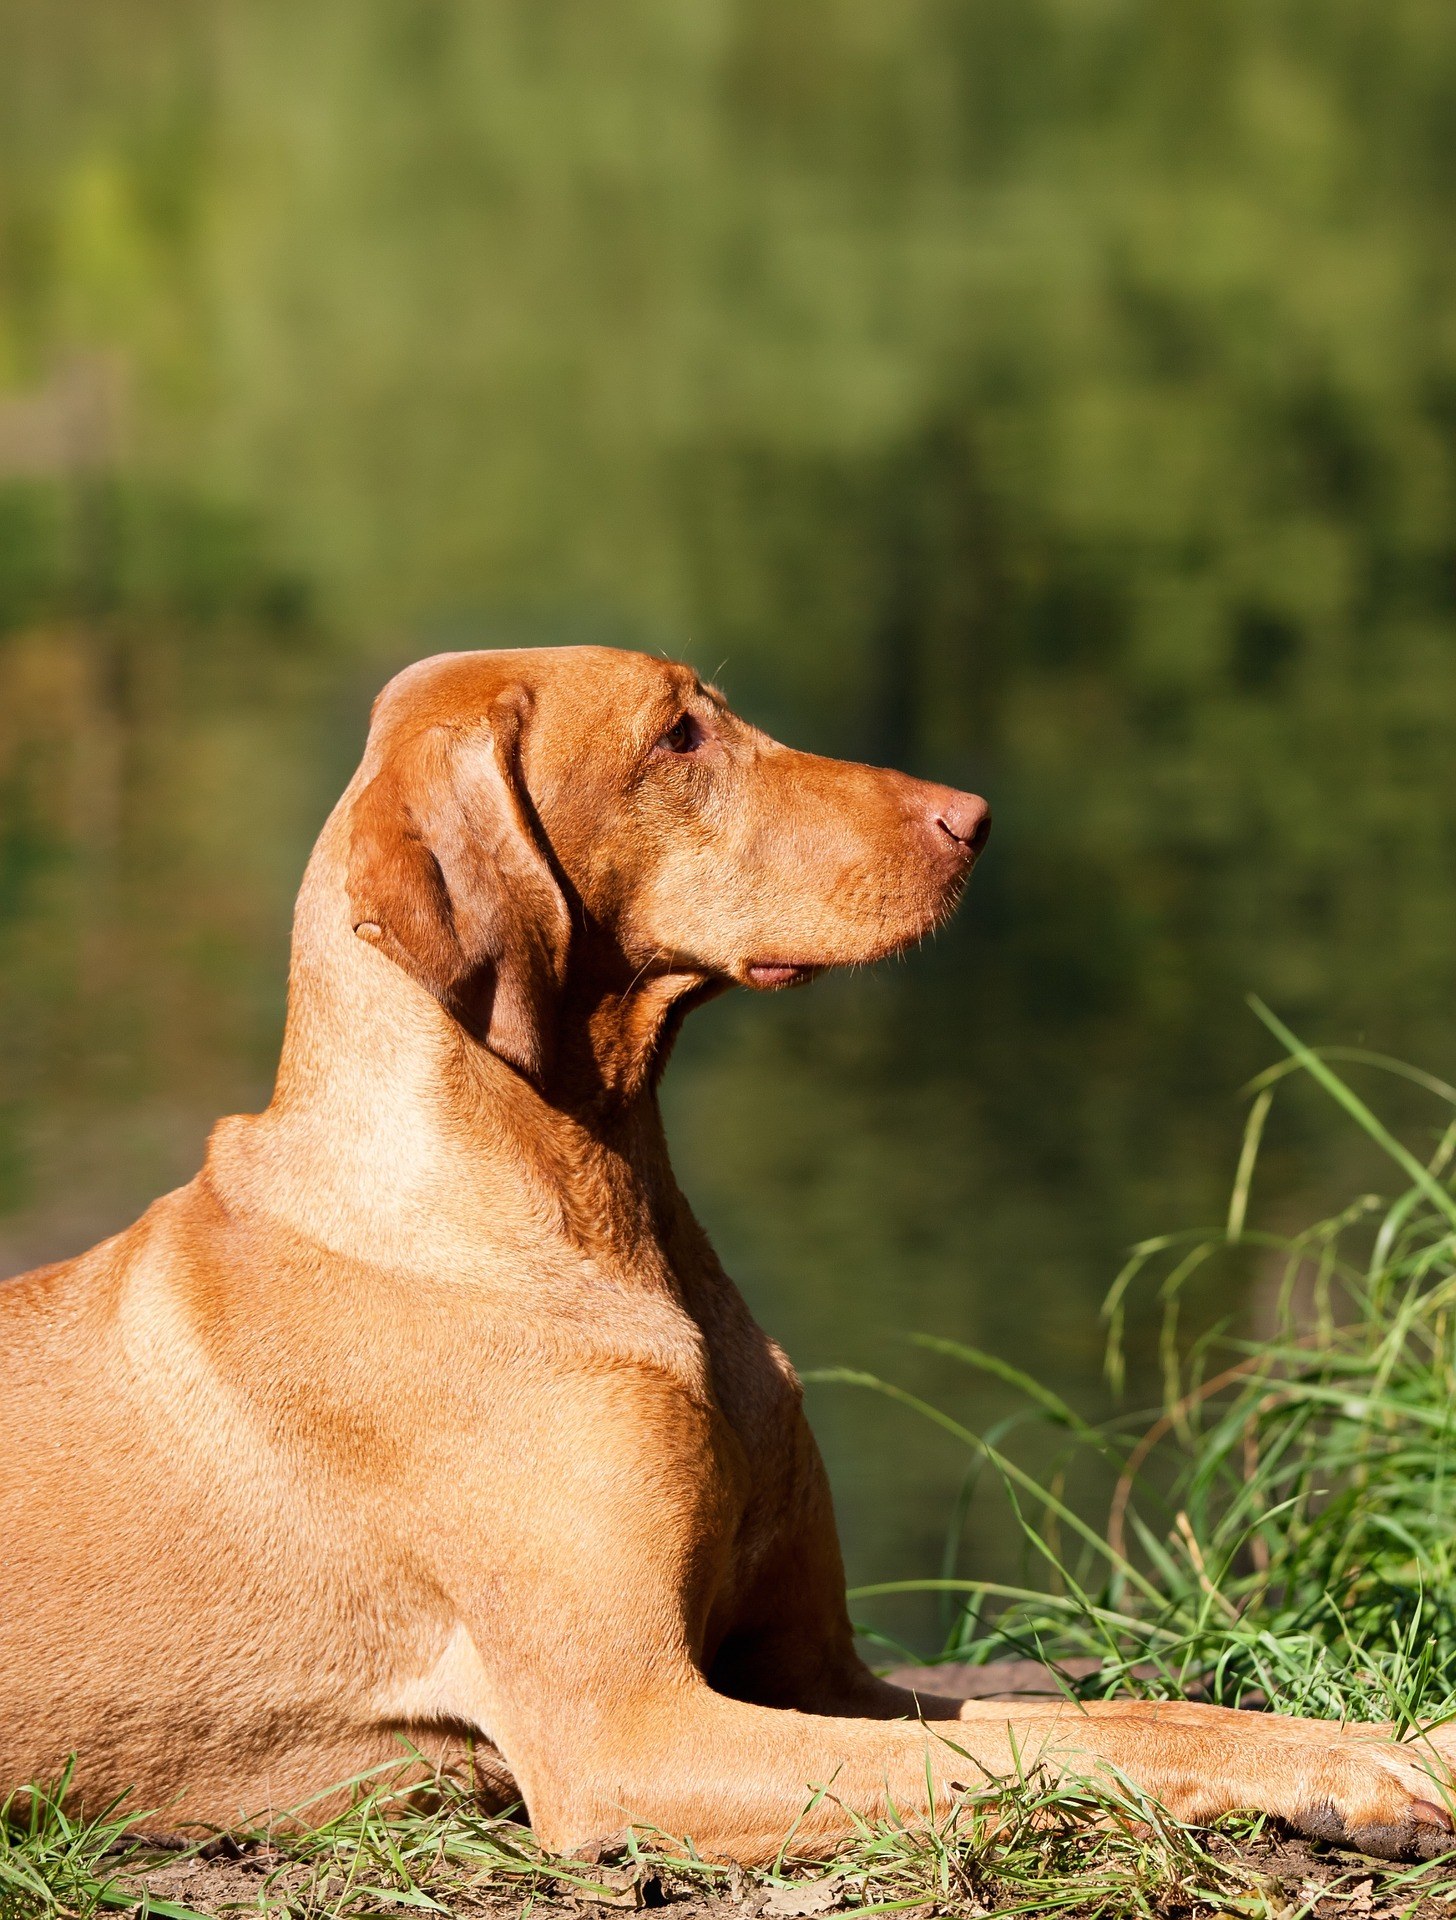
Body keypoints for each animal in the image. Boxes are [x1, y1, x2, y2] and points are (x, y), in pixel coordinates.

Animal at [2, 648, 1456, 1858]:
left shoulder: (818, 1675)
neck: (596, 1216)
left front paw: (1390, 1745)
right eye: (678, 733)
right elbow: (1069, 1748)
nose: (973, 816)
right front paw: (1351, 1774)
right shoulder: (631, 1731)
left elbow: (1123, 1717)